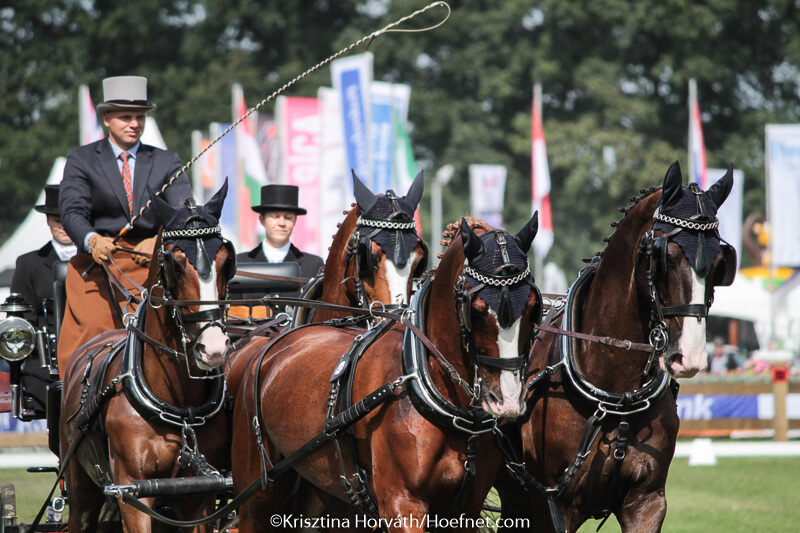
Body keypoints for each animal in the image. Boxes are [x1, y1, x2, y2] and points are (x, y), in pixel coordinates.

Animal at [59, 181, 236, 528]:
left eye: (226, 261)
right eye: (175, 265)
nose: (213, 348)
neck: (179, 408)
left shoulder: (200, 496)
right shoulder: (132, 493)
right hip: (80, 489)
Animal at [227, 213, 544, 532]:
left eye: (532, 307)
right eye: (475, 310)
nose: (508, 401)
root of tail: (270, 345)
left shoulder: (465, 511)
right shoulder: (401, 505)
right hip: (257, 494)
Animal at [500, 162, 736, 532]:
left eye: (719, 264)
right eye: (666, 257)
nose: (691, 356)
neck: (616, 391)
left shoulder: (647, 502)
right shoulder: (553, 505)